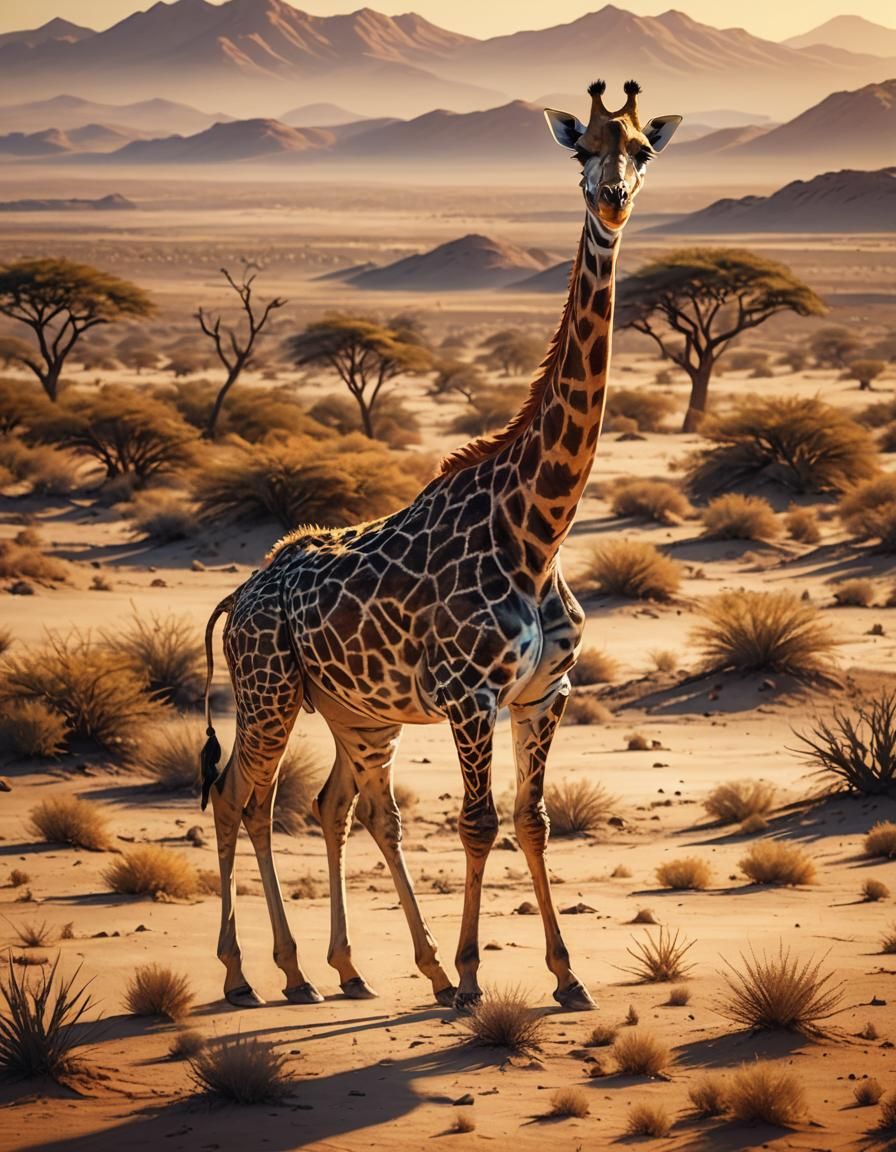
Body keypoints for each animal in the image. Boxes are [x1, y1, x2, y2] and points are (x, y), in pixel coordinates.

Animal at [200, 79, 681, 1012]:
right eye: (582, 149)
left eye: (643, 149)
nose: (612, 198)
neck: (538, 529)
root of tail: (240, 596)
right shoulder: (469, 697)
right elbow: (479, 822)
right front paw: (469, 977)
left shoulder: (543, 693)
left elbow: (532, 820)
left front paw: (566, 976)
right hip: (268, 691)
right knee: (241, 798)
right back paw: (255, 974)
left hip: (357, 710)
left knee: (338, 806)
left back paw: (346, 970)